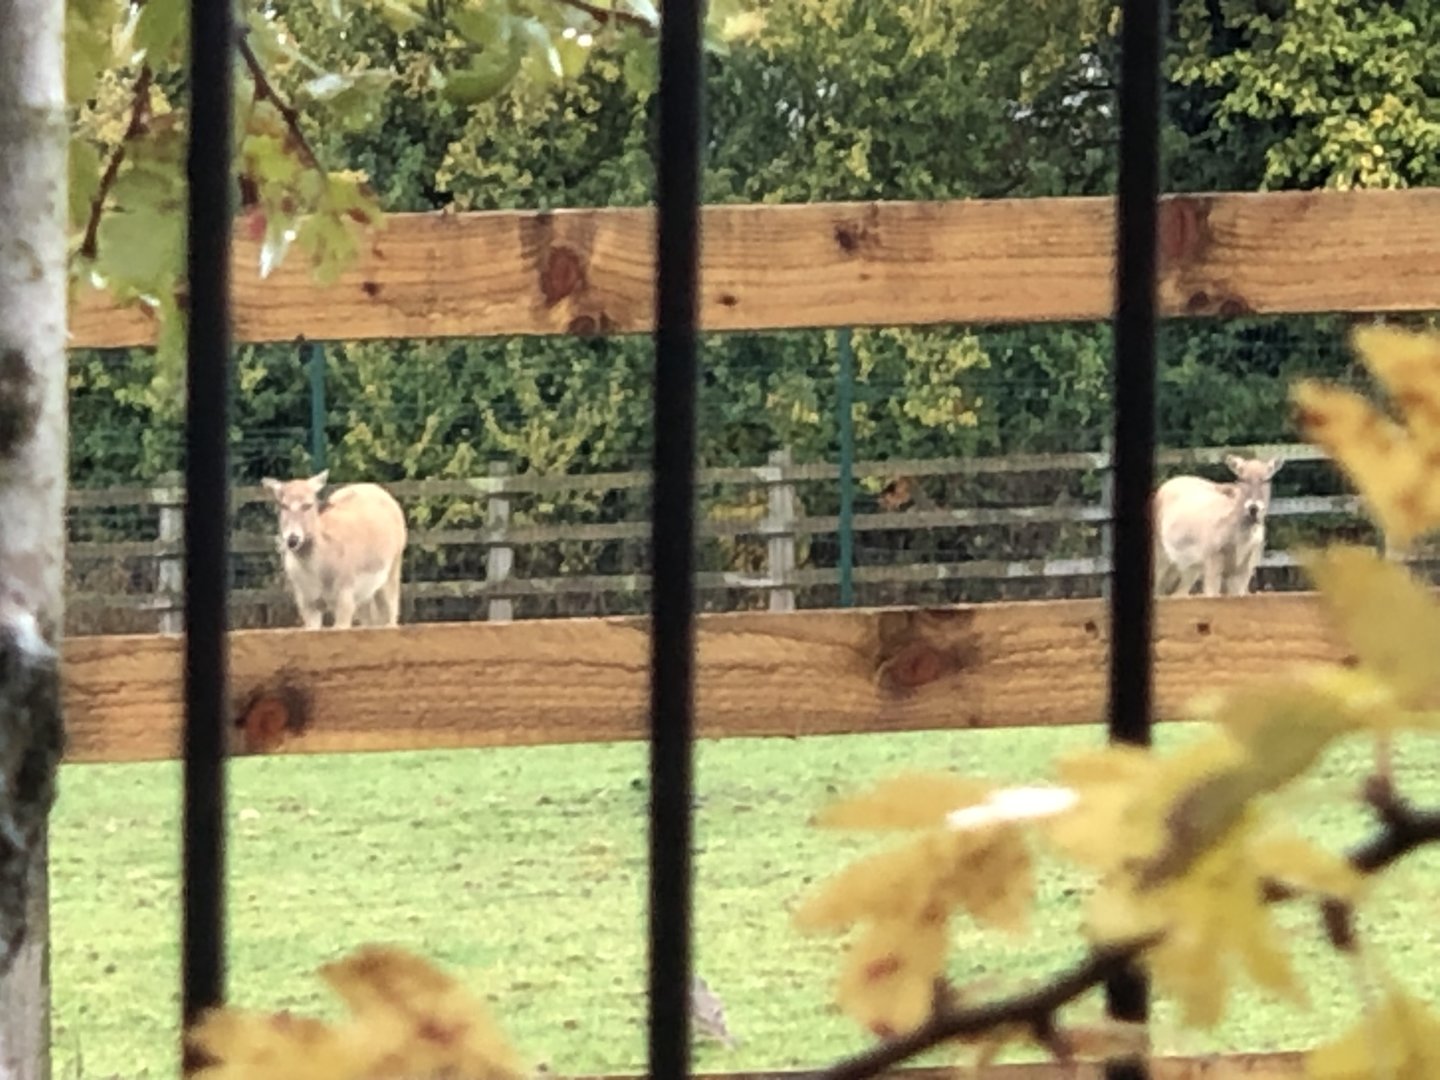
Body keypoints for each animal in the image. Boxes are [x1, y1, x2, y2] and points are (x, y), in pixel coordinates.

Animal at [260, 470, 408, 629]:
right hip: (364, 596)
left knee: (391, 613)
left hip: (393, 568)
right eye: (283, 505)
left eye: (308, 505)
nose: (292, 539)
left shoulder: (345, 594)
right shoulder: (305, 601)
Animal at [1151, 454, 1283, 598]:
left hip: (1187, 568)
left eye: (1267, 479)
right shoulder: (1211, 559)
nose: (1253, 508)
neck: (1239, 544)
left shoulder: (1246, 568)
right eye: (1241, 479)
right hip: (1160, 552)